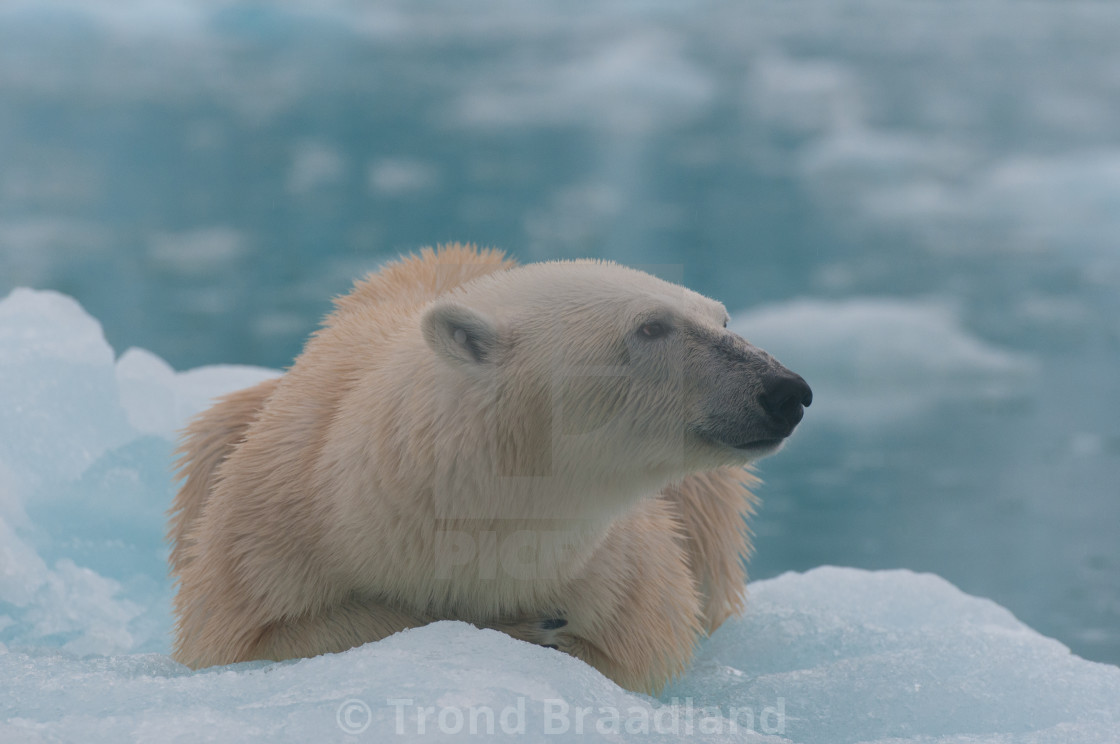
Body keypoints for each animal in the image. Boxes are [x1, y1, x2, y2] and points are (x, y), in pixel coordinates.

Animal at [170, 244, 810, 690]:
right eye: (651, 325)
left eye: (722, 319)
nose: (787, 391)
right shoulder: (266, 535)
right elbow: (252, 641)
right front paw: (519, 628)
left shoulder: (626, 571)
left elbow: (641, 654)